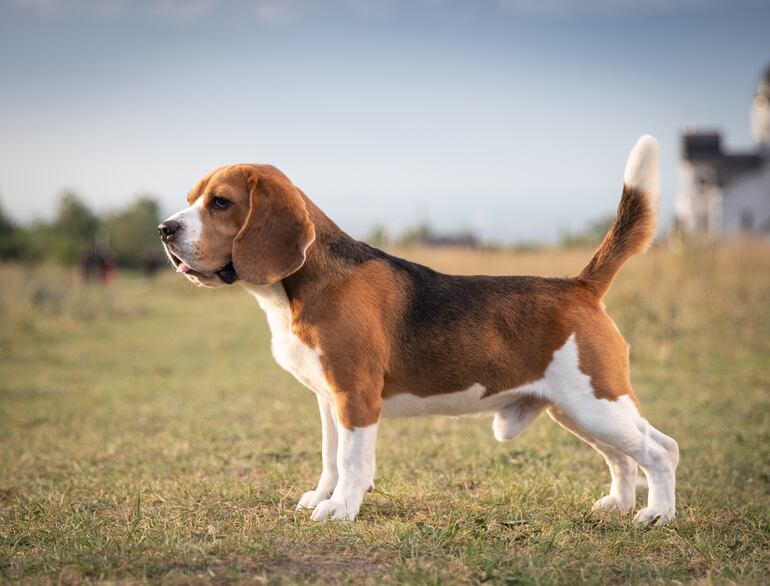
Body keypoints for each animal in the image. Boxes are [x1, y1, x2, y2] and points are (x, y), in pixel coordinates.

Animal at [159, 137, 676, 524]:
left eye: (220, 203)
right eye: (190, 201)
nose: (164, 229)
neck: (305, 284)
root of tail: (579, 285)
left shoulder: (356, 397)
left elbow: (351, 461)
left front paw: (341, 508)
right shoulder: (328, 400)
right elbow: (330, 457)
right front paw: (323, 495)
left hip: (596, 403)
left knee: (661, 450)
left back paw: (657, 515)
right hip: (576, 411)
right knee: (623, 457)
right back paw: (619, 503)